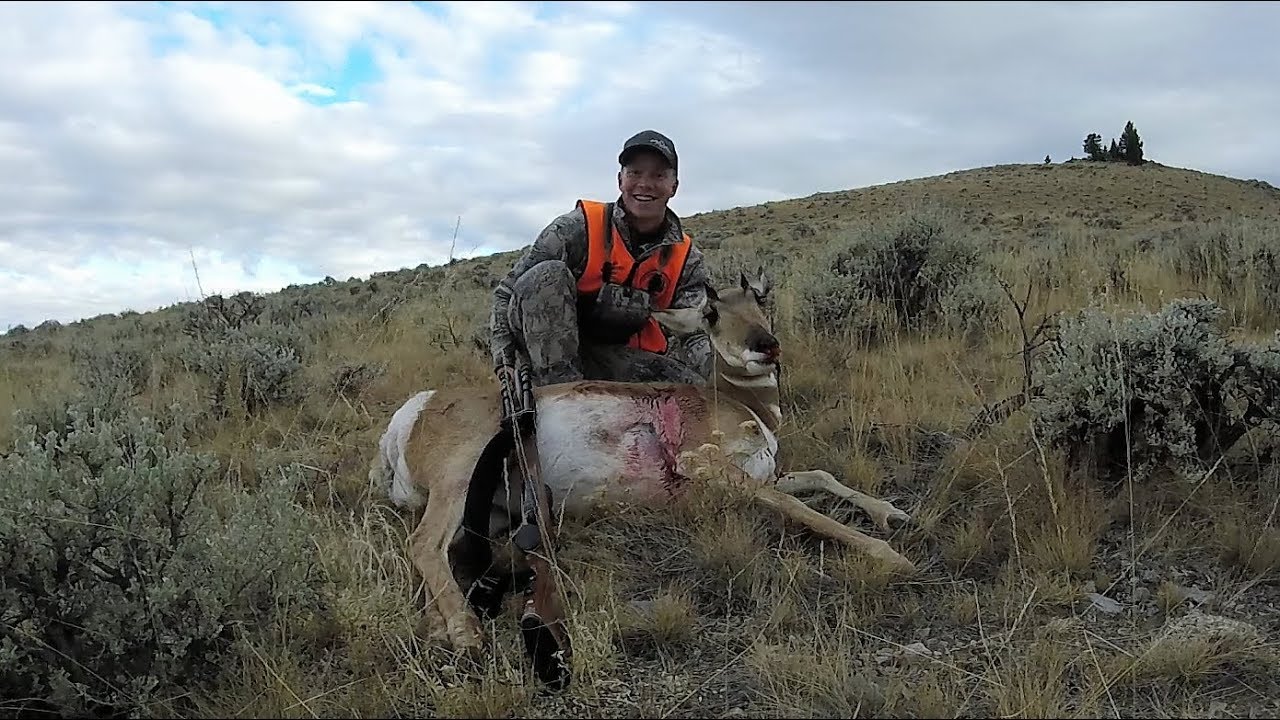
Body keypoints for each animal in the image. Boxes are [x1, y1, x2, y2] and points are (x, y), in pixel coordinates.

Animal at [369, 269, 915, 662]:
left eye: (760, 302)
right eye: (711, 312)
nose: (765, 345)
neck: (739, 404)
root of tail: (413, 411)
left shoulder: (765, 473)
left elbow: (822, 477)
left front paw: (891, 514)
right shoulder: (707, 465)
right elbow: (804, 510)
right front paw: (889, 555)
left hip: (490, 515)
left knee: (441, 561)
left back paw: (441, 629)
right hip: (460, 481)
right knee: (423, 544)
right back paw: (466, 634)